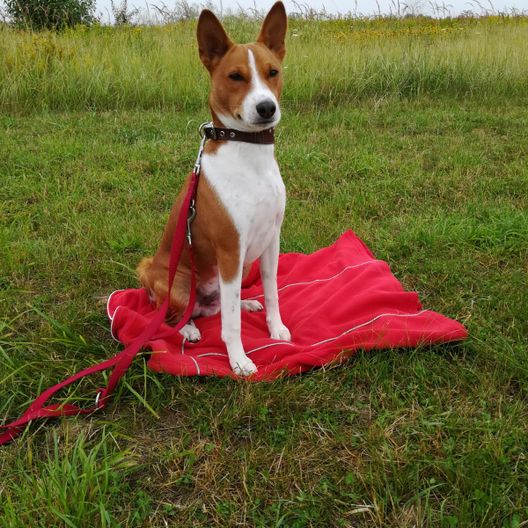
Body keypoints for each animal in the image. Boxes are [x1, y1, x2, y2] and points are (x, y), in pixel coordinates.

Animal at [136, 3, 290, 376]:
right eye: (235, 76)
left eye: (273, 72)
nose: (266, 107)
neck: (251, 157)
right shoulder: (230, 248)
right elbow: (230, 326)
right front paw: (238, 359)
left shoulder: (271, 240)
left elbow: (272, 291)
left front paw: (276, 327)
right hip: (177, 282)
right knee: (171, 313)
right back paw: (189, 329)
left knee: (220, 305)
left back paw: (245, 303)